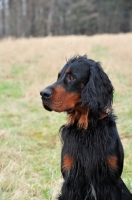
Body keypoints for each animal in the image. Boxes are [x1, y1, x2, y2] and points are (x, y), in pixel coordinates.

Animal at [40, 55, 132, 200]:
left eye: (71, 78)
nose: (43, 94)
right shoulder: (71, 178)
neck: (86, 127)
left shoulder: (111, 180)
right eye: (58, 77)